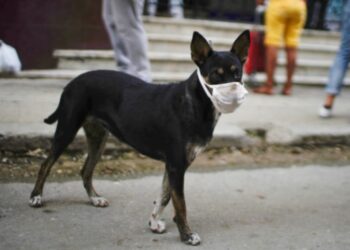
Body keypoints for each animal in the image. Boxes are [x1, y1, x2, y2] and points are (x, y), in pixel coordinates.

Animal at [29, 30, 249, 245]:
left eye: (237, 73)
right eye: (216, 75)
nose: (234, 91)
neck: (196, 102)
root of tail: (73, 81)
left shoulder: (175, 164)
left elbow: (164, 197)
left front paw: (154, 223)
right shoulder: (176, 165)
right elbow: (180, 203)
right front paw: (186, 235)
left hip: (98, 138)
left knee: (85, 170)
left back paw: (94, 198)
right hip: (67, 129)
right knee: (46, 164)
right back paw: (36, 197)